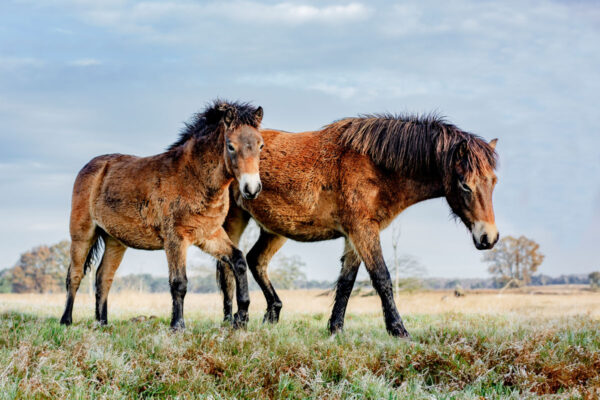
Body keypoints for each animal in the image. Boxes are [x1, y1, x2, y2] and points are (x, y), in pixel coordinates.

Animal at [59, 101, 264, 330]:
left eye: (260, 145)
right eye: (230, 146)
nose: (252, 188)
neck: (192, 176)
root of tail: (92, 167)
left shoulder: (208, 236)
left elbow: (238, 261)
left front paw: (242, 317)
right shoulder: (175, 239)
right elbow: (179, 283)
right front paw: (177, 325)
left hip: (115, 240)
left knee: (104, 277)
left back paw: (102, 323)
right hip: (82, 234)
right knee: (75, 275)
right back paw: (66, 321)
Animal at [216, 112, 496, 338]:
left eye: (493, 181)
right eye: (465, 185)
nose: (489, 238)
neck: (375, 166)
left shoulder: (354, 235)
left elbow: (346, 282)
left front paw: (335, 328)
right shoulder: (363, 230)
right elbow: (382, 277)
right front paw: (398, 330)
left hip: (274, 230)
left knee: (255, 260)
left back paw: (271, 314)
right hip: (233, 220)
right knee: (229, 263)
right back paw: (232, 320)